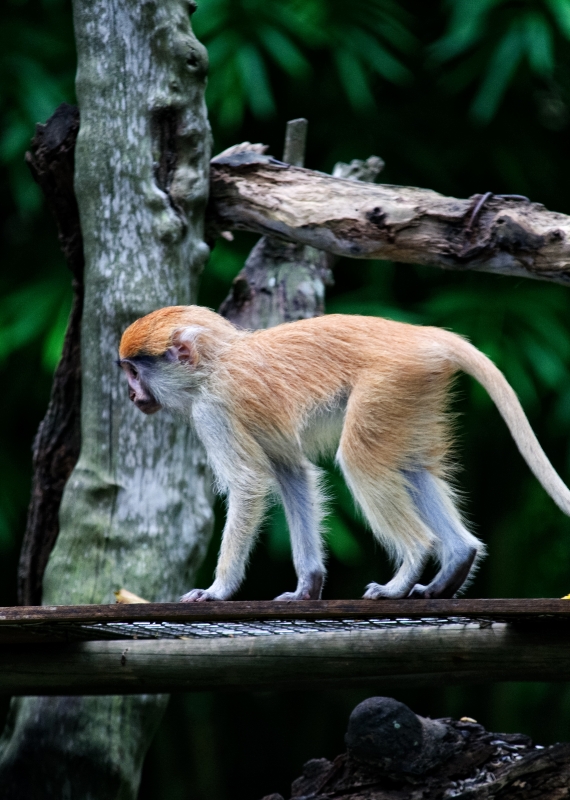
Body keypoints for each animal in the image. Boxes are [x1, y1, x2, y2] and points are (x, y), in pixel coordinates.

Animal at [117, 306, 564, 600]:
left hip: (387, 385)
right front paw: (308, 586)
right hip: (415, 389)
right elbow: (292, 473)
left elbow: (248, 485)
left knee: (360, 461)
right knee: (412, 466)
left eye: (135, 372)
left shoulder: (213, 411)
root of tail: (421, 336)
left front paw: (218, 590)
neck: (215, 360)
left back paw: (408, 568)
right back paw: (455, 562)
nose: (131, 395)